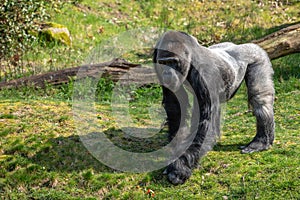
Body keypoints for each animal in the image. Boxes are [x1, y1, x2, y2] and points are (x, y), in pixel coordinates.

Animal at [154, 30, 276, 185]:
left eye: (172, 62)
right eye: (163, 63)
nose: (167, 73)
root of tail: (244, 44)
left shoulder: (205, 73)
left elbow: (205, 120)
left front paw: (180, 167)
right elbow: (174, 105)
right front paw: (176, 145)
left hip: (258, 57)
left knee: (260, 99)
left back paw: (261, 141)